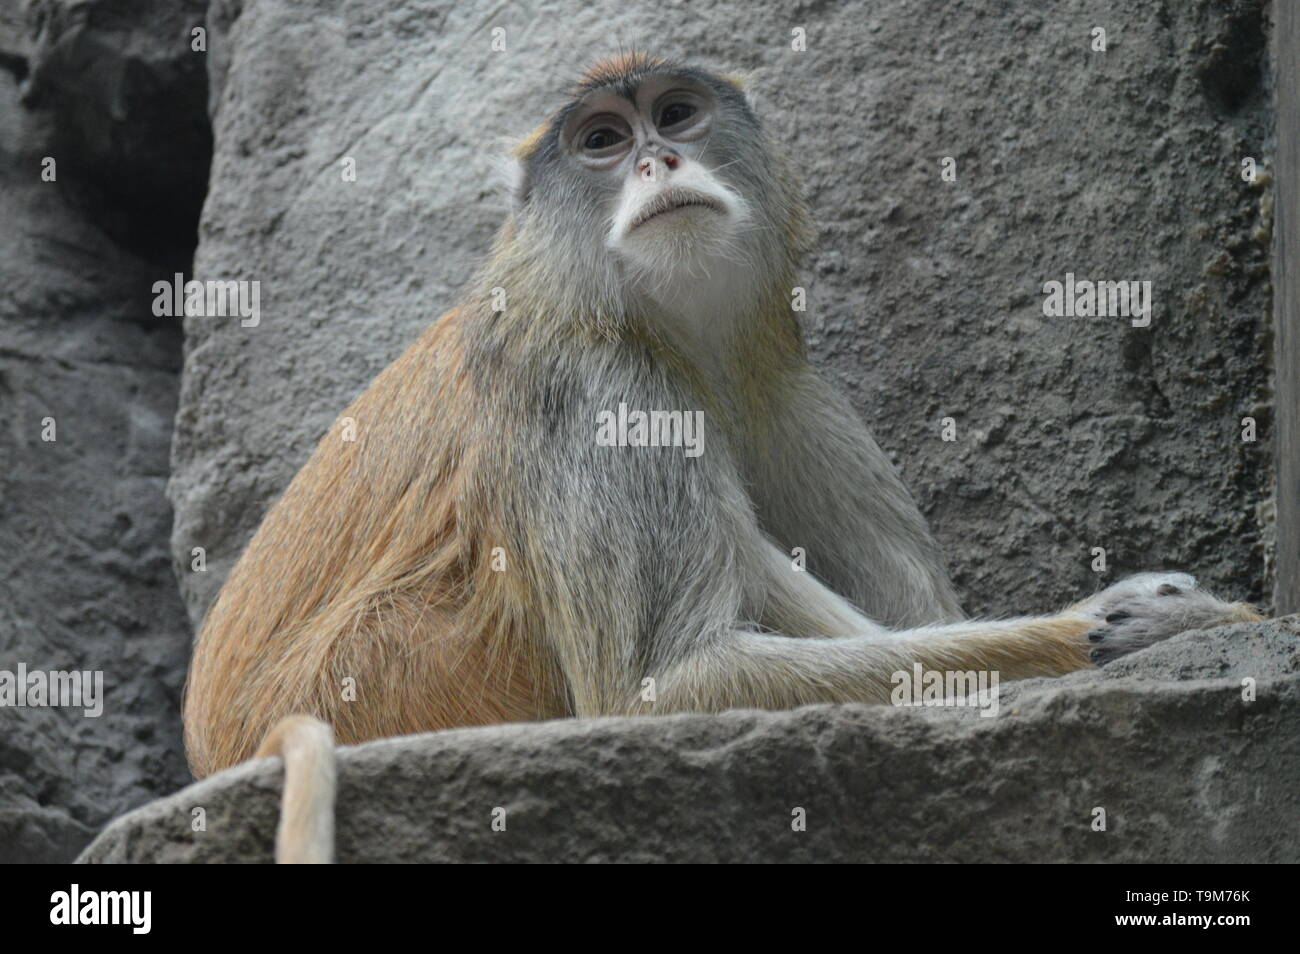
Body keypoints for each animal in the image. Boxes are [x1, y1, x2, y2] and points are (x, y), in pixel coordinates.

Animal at [183, 54, 1258, 868]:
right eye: (601, 140)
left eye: (677, 113)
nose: (659, 158)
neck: (647, 319)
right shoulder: (600, 394)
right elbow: (664, 688)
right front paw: (1137, 625)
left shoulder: (786, 384)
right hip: (392, 670)